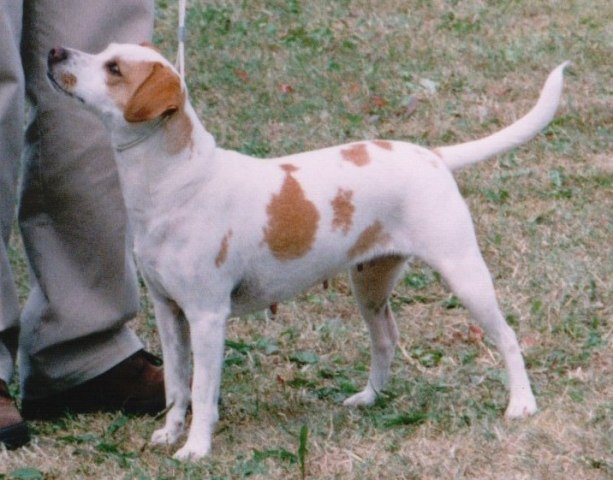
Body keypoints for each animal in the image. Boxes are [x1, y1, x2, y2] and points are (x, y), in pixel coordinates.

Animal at [45, 43, 568, 460]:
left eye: (114, 68)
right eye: (104, 52)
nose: (54, 52)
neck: (176, 182)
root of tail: (433, 156)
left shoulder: (208, 317)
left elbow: (203, 391)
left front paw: (196, 449)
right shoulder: (168, 313)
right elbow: (177, 387)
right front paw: (170, 435)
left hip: (463, 273)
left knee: (507, 336)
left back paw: (521, 404)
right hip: (369, 282)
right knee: (386, 339)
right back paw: (368, 398)